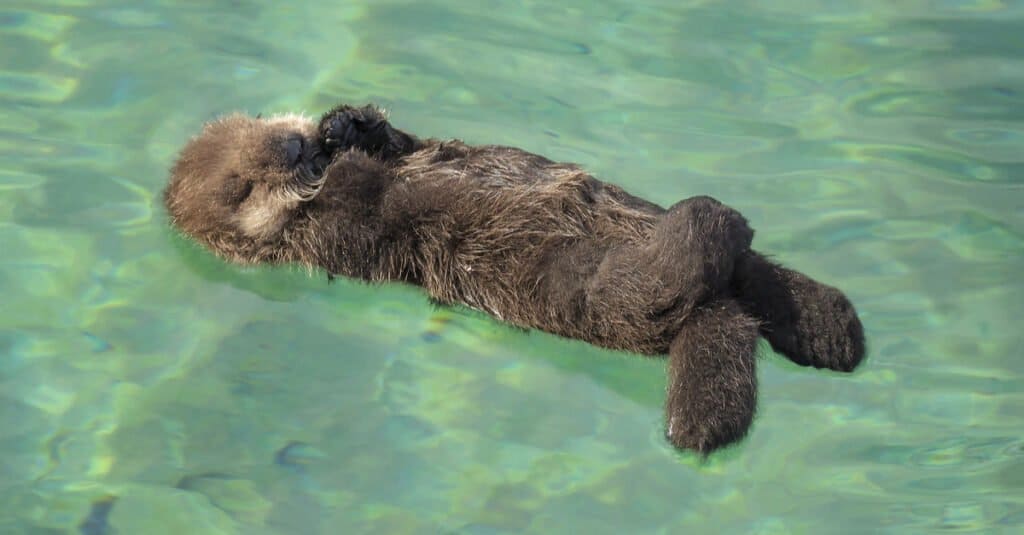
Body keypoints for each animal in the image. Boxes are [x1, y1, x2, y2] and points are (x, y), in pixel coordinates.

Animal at [161, 105, 864, 453]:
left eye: (280, 132)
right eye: (242, 183)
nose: (301, 146)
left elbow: (401, 141)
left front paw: (351, 123)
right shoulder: (335, 237)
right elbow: (364, 204)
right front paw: (346, 162)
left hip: (654, 233)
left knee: (755, 282)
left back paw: (831, 326)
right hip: (589, 283)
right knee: (671, 288)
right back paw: (714, 220)